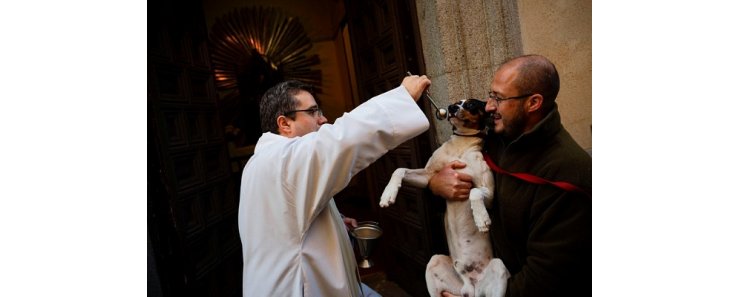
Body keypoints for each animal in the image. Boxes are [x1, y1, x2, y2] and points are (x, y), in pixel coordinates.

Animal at [382, 99, 508, 296]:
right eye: (456, 103)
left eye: (471, 104)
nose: (452, 108)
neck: (461, 145)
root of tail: (470, 287)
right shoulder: (427, 177)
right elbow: (399, 169)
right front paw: (387, 194)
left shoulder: (489, 193)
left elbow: (474, 192)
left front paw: (481, 219)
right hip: (434, 264)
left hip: (498, 267)